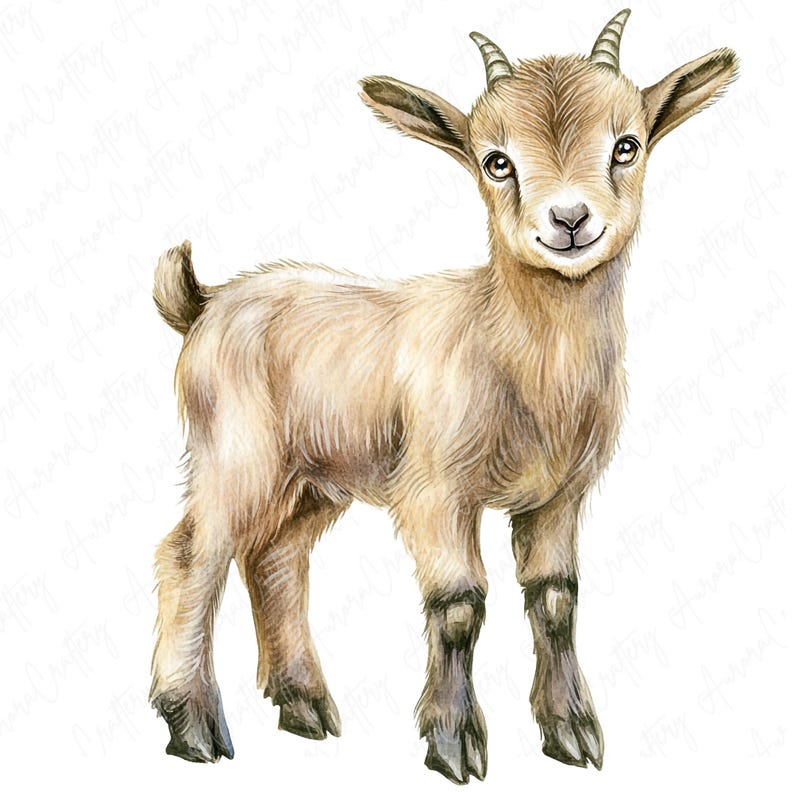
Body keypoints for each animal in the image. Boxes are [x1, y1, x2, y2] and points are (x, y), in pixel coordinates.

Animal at [150, 8, 737, 783]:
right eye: (496, 160)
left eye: (627, 145)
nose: (569, 220)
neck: (517, 355)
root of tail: (206, 301)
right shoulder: (436, 491)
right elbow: (458, 605)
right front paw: (454, 743)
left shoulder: (558, 496)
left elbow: (556, 598)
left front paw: (571, 732)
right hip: (236, 455)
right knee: (193, 555)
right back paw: (192, 725)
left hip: (314, 482)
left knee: (274, 560)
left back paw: (305, 707)